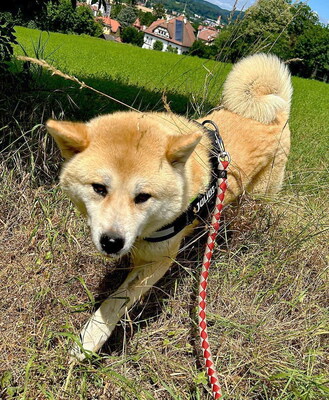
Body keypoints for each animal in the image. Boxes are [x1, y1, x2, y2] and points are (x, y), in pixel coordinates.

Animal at [45, 53, 290, 360]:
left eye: (143, 196)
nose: (112, 241)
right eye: (99, 188)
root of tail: (278, 114)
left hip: (259, 197)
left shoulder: (160, 260)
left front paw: (89, 339)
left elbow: (115, 301)